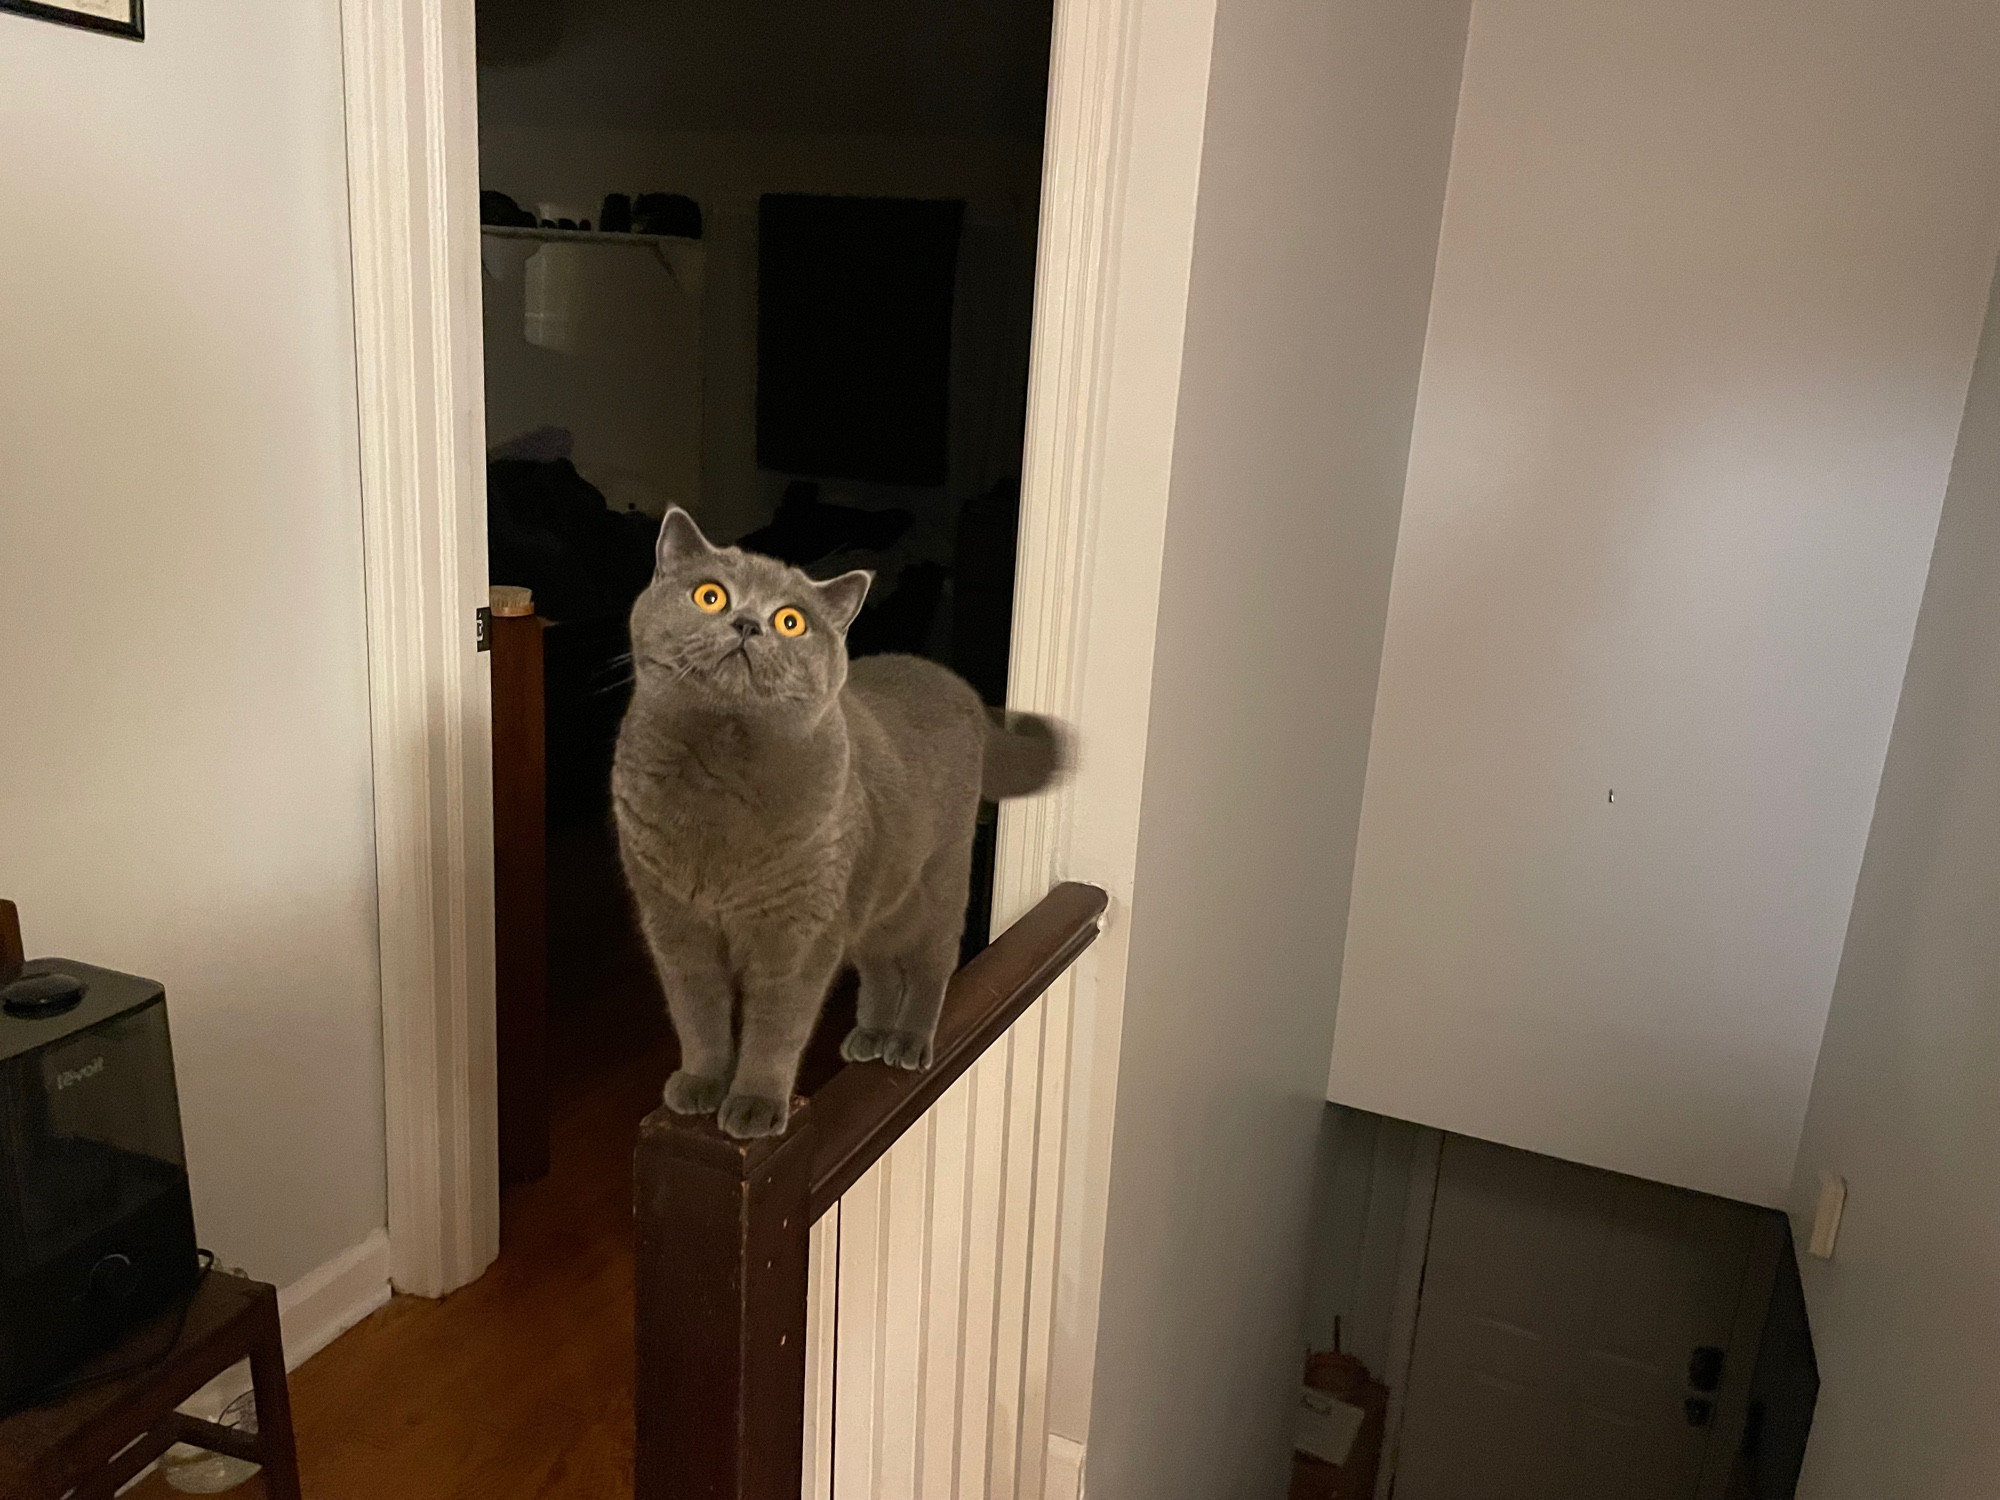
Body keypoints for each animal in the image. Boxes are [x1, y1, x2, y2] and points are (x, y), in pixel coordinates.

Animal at [616, 512, 1072, 1144]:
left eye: (791, 621)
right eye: (710, 596)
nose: (748, 623)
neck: (720, 772)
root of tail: (958, 686)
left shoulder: (799, 933)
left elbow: (776, 1027)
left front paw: (754, 1105)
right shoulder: (673, 922)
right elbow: (697, 1013)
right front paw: (702, 1085)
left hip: (938, 880)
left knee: (932, 960)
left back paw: (907, 1041)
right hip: (873, 895)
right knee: (880, 963)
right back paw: (871, 1036)